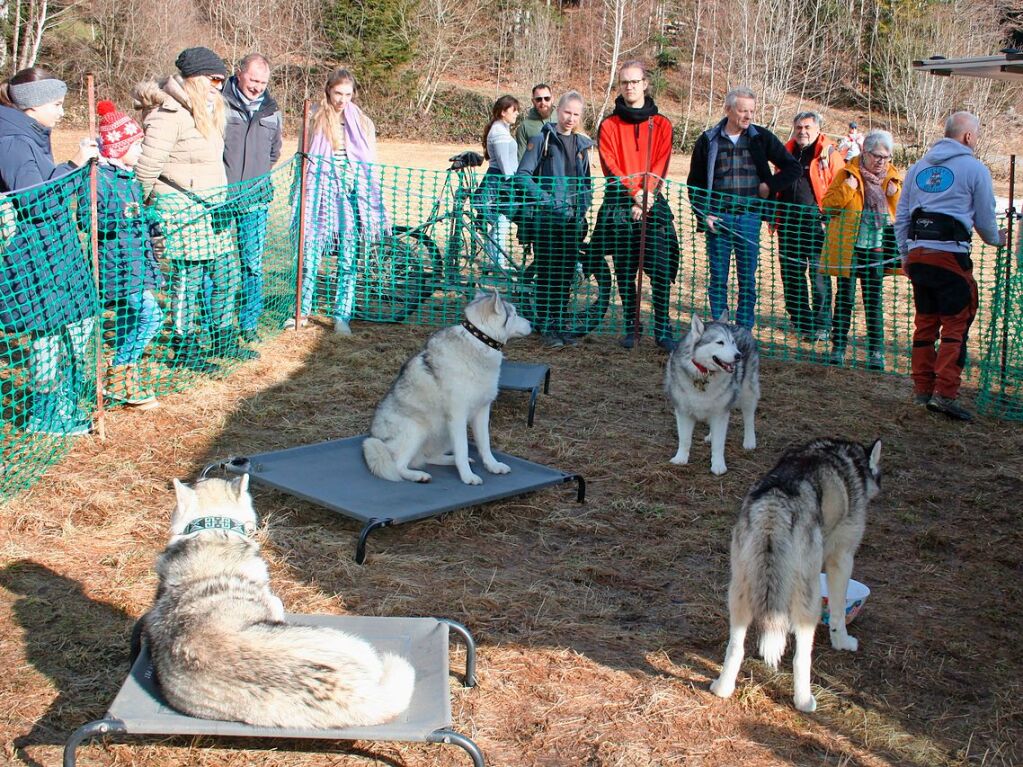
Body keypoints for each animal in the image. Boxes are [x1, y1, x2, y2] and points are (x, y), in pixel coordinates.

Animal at [362, 290, 536, 482]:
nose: (532, 324)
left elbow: (485, 444)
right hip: (416, 430)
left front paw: (493, 465)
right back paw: (418, 475)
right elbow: (463, 448)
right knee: (398, 465)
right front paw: (468, 476)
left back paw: (448, 460)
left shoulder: (482, 410)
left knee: (430, 458)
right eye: (514, 313)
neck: (477, 343)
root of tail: (374, 437)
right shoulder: (458, 415)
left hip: (443, 434)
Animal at [662, 312, 761, 474]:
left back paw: (749, 441)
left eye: (732, 342)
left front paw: (718, 465)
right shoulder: (683, 411)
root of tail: (738, 325)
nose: (738, 356)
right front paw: (680, 459)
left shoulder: (721, 412)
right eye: (720, 342)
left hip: (748, 393)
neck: (704, 374)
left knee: (749, 418)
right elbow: (685, 439)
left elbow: (718, 444)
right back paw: (710, 435)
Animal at [707, 437, 883, 715]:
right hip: (808, 601)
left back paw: (722, 688)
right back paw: (805, 701)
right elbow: (838, 613)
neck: (850, 460)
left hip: (739, 592)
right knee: (801, 658)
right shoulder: (842, 559)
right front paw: (843, 641)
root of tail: (775, 502)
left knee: (735, 647)